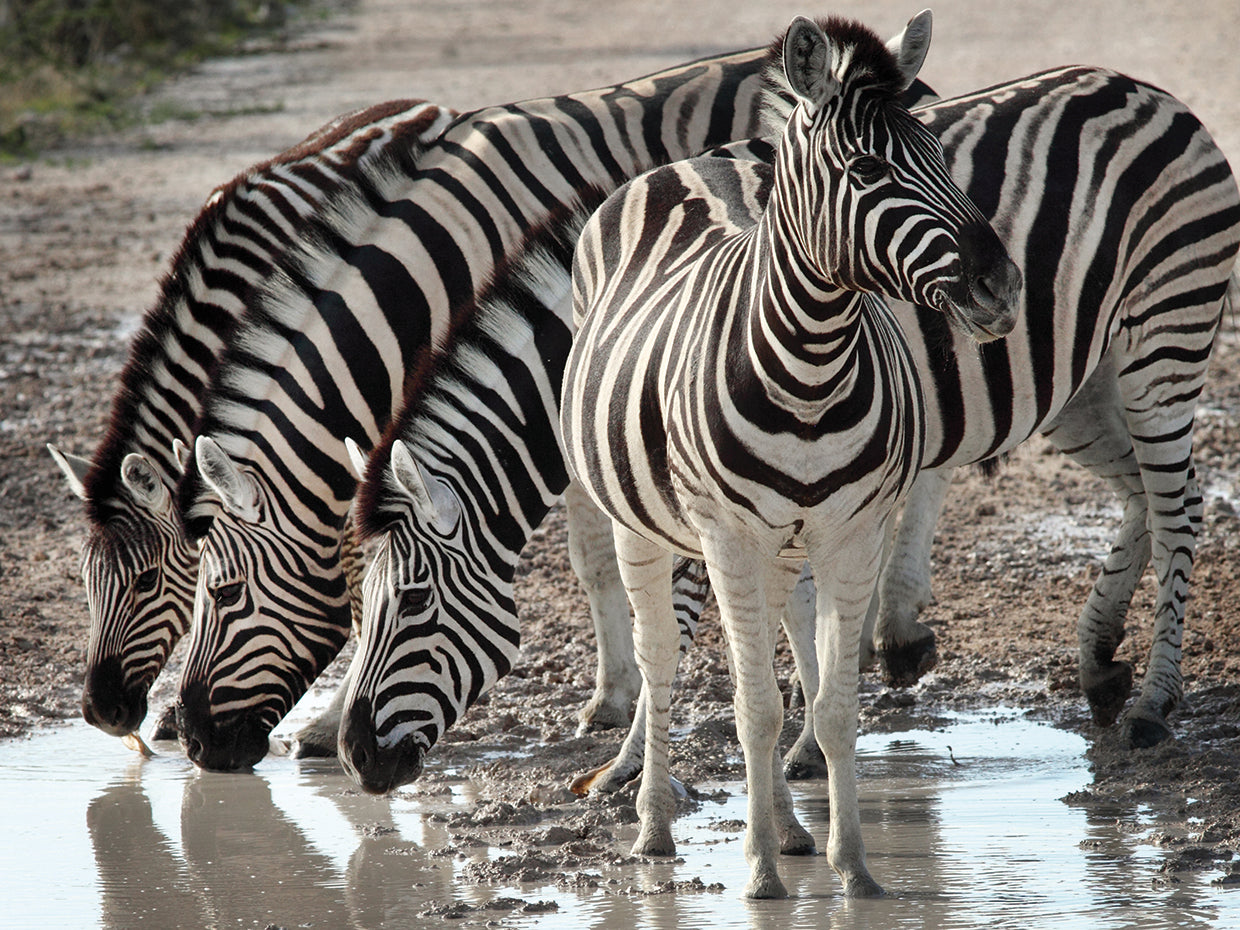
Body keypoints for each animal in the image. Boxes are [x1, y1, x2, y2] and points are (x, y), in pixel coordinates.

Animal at [561, 12, 1020, 898]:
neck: (811, 362)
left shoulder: (851, 532)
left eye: (942, 155)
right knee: (661, 660)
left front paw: (854, 868)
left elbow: (830, 706)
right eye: (869, 168)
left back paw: (789, 827)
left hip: (777, 546)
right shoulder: (727, 536)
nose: (1003, 288)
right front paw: (759, 876)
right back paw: (654, 827)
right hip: (647, 524)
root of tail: (693, 162)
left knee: (767, 652)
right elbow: (756, 708)